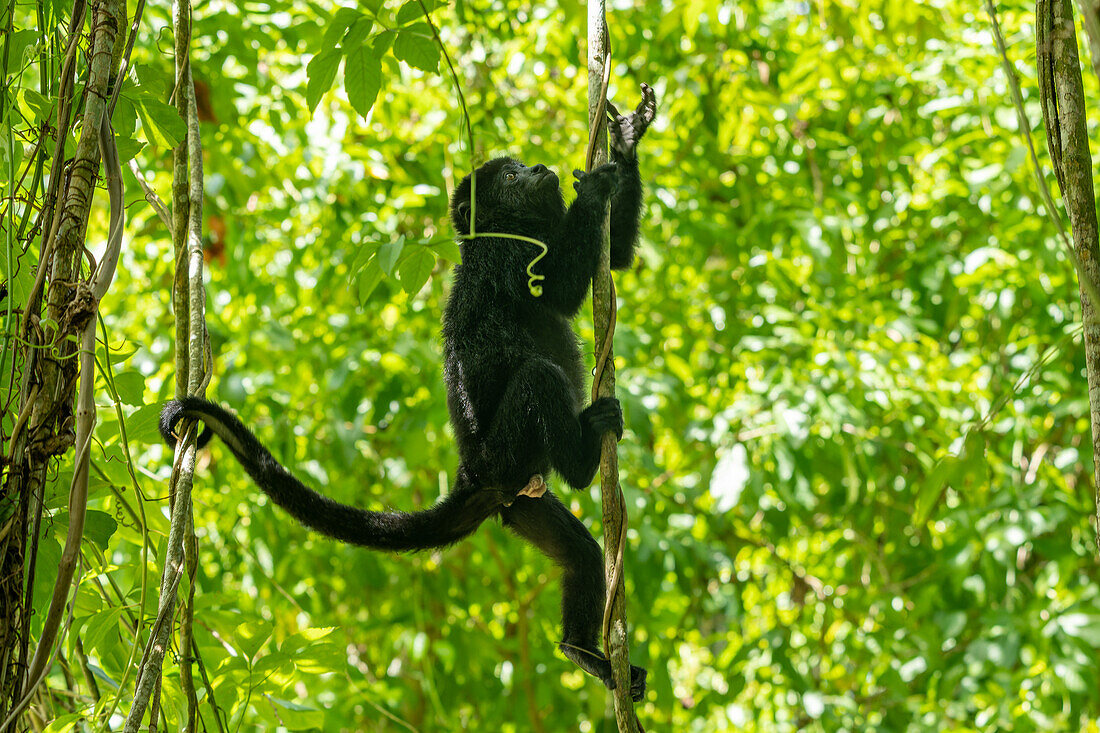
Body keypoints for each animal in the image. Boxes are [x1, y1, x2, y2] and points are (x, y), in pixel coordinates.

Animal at [160, 84, 655, 695]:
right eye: (510, 175)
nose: (538, 168)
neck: (517, 231)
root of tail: (472, 476)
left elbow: (618, 259)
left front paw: (627, 141)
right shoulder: (504, 256)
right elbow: (559, 291)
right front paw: (596, 187)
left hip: (522, 502)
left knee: (581, 558)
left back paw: (584, 653)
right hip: (507, 455)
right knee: (540, 377)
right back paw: (588, 456)